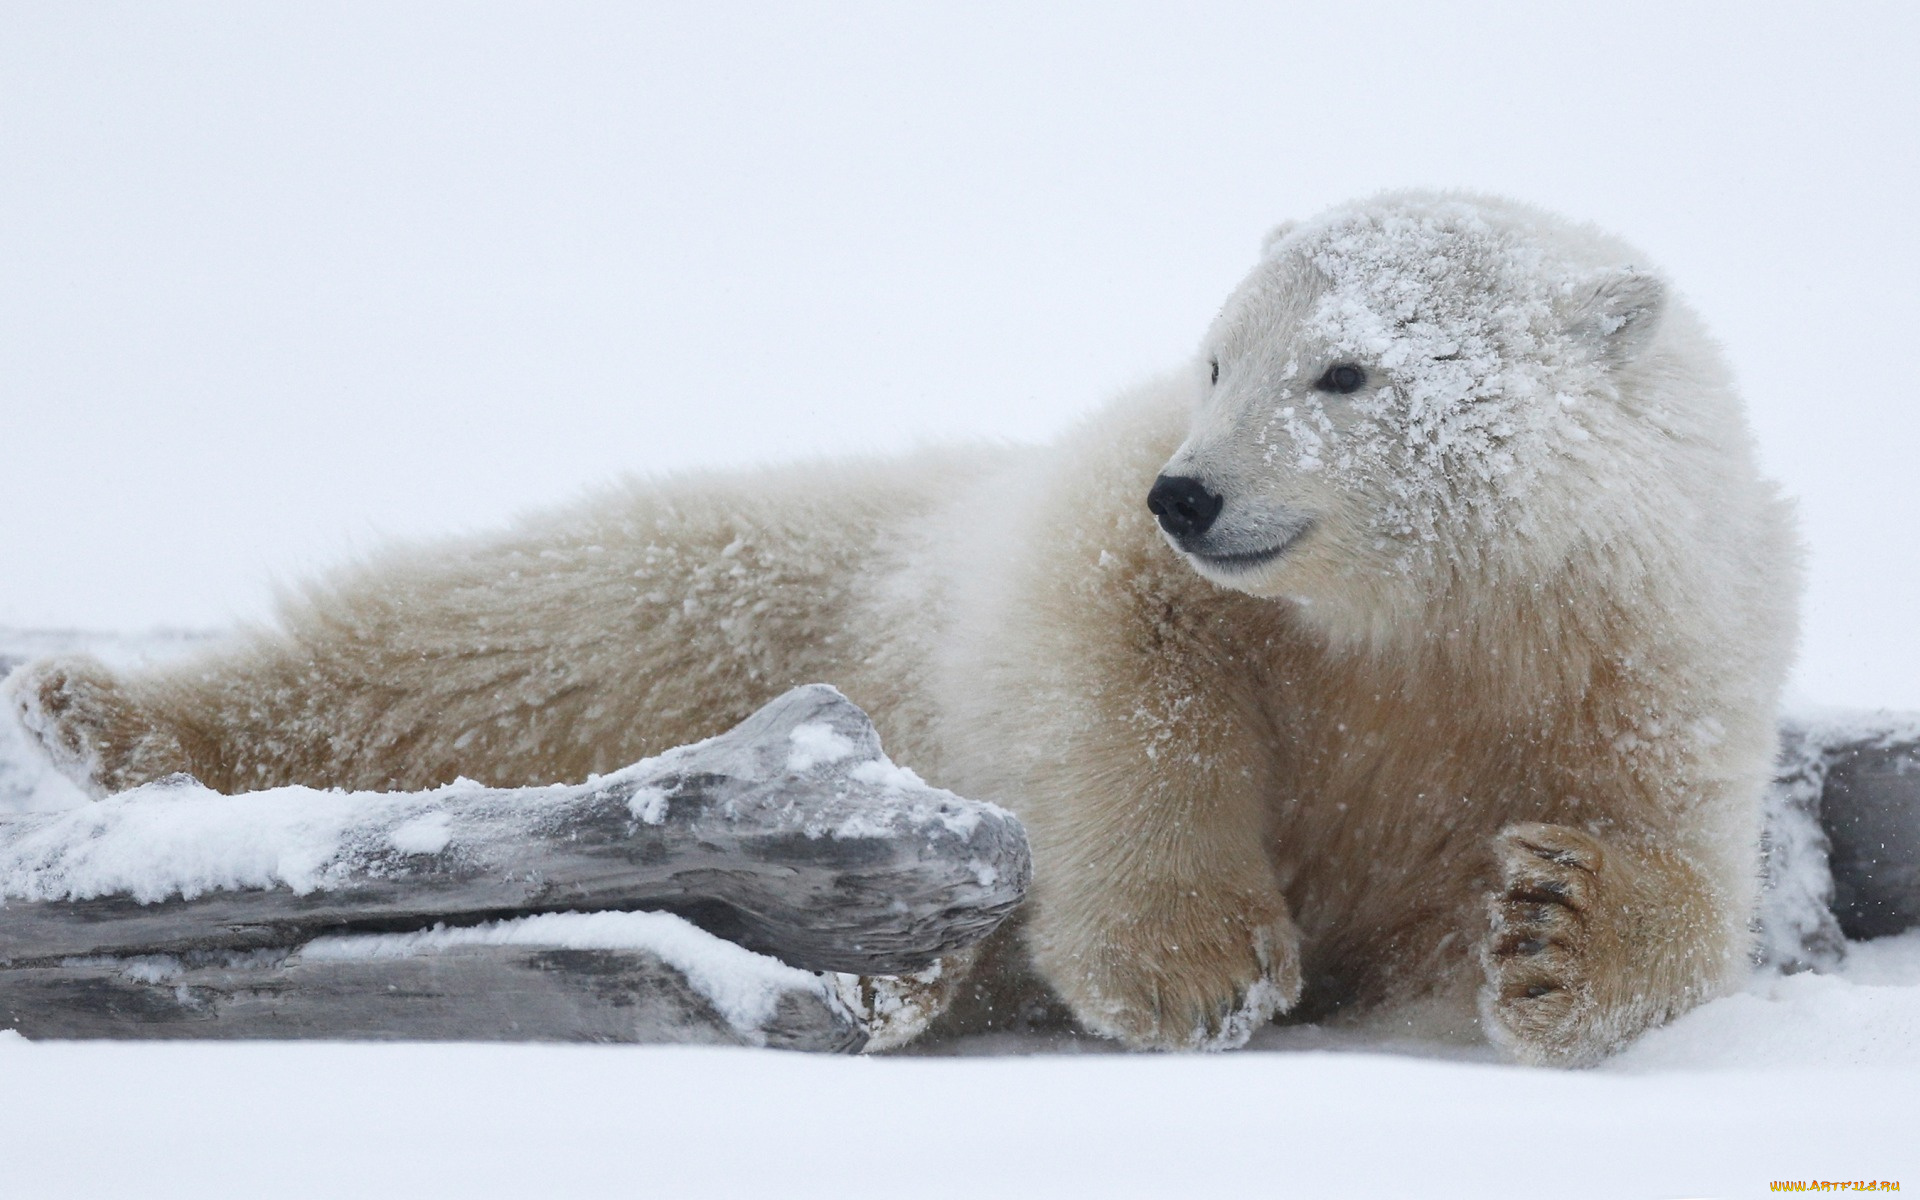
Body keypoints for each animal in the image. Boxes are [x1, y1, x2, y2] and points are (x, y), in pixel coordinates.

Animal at [7, 192, 1789, 1059]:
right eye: (1216, 357)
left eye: (1346, 371)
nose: (1192, 492)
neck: (1424, 619)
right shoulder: (1120, 551)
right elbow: (1103, 670)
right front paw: (1195, 969)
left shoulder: (1650, 651)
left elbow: (1669, 866)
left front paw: (1551, 932)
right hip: (761, 581)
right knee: (502, 630)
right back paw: (108, 717)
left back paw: (900, 985)